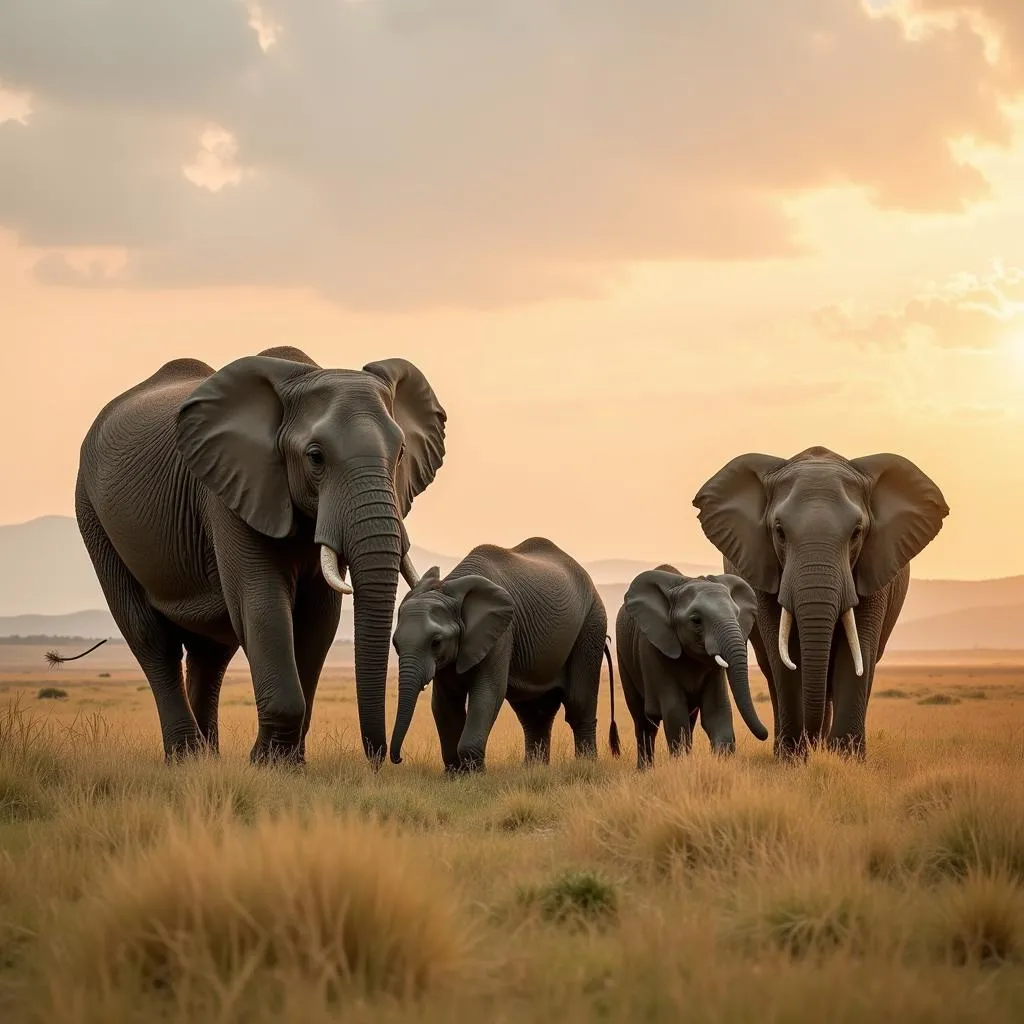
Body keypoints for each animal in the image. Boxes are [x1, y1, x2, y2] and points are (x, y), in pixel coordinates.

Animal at [48, 348, 444, 765]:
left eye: (401, 453)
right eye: (315, 457)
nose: (385, 758)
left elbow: (319, 618)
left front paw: (289, 764)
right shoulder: (229, 493)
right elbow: (262, 602)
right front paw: (268, 764)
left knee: (211, 652)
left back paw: (209, 760)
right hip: (93, 515)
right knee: (150, 637)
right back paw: (187, 760)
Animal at [387, 540, 618, 770]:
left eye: (436, 642)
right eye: (395, 644)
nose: (399, 759)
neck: (450, 589)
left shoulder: (502, 633)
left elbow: (488, 693)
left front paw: (474, 774)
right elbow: (444, 702)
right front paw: (455, 774)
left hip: (591, 625)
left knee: (578, 704)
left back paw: (586, 764)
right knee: (534, 713)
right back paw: (533, 770)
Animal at [610, 569, 765, 770]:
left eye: (737, 614)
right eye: (696, 620)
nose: (765, 734)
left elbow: (717, 710)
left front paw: (719, 763)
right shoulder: (654, 649)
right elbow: (675, 712)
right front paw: (681, 766)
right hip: (624, 658)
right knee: (643, 721)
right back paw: (644, 770)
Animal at [692, 448, 946, 761]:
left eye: (857, 532)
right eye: (779, 531)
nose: (811, 743)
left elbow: (857, 649)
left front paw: (848, 760)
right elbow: (784, 656)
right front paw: (792, 760)